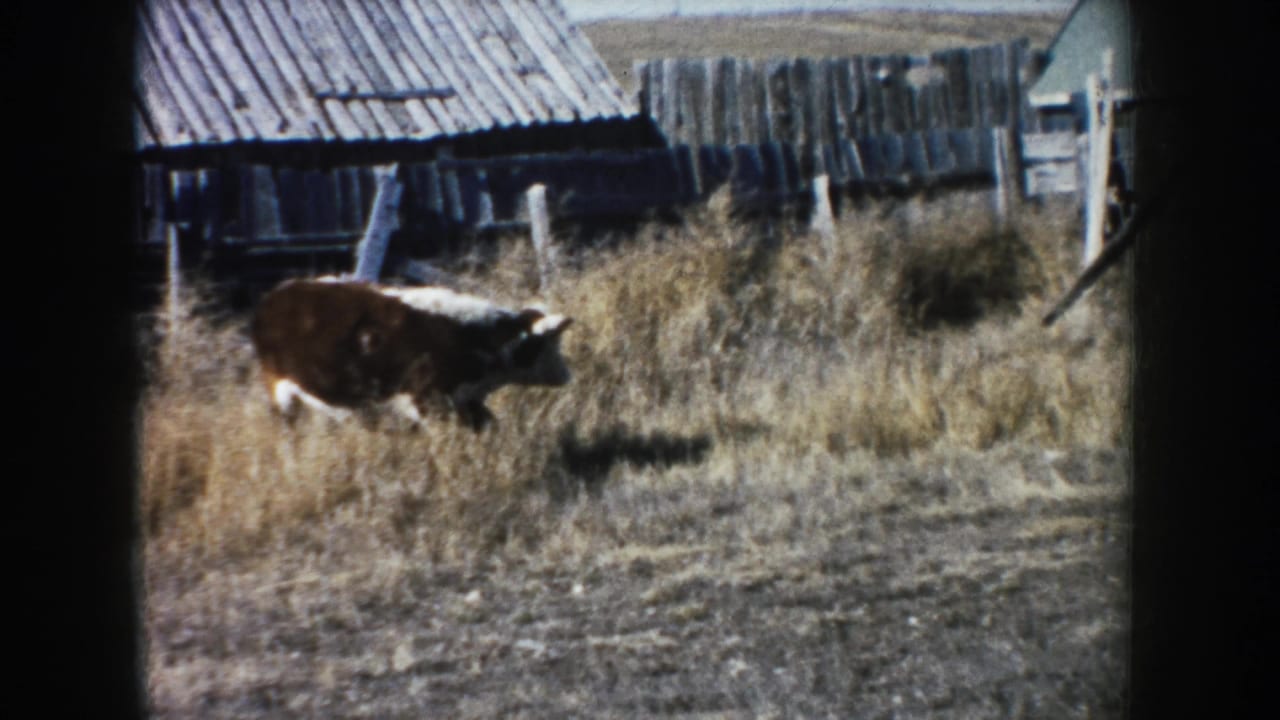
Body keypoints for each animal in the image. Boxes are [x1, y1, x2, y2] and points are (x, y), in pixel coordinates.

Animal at [249, 279, 573, 431]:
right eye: (548, 344)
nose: (567, 375)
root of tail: (274, 295)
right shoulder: (429, 402)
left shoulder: (466, 400)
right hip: (280, 393)